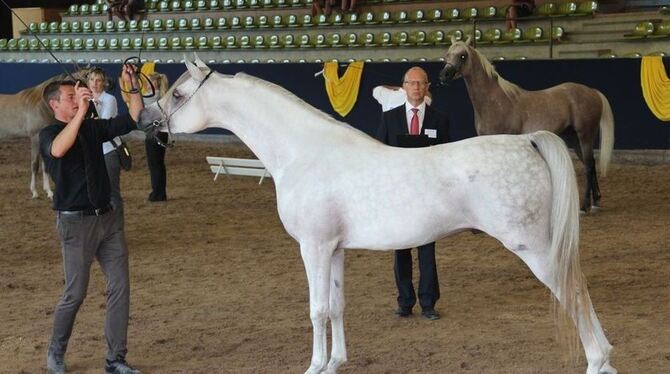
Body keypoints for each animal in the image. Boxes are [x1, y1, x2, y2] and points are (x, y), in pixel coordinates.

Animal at [138, 59, 620, 374]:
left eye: (177, 93)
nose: (144, 119)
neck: (306, 152)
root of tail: (529, 142)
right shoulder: (334, 250)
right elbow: (336, 305)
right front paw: (335, 362)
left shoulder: (313, 247)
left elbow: (316, 309)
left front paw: (314, 365)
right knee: (580, 286)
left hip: (534, 249)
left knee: (572, 291)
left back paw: (597, 360)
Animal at [440, 38, 616, 213]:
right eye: (447, 55)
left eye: (463, 56)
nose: (444, 75)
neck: (495, 101)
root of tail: (592, 91)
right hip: (573, 138)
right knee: (590, 164)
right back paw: (596, 201)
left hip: (585, 135)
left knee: (589, 166)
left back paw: (585, 205)